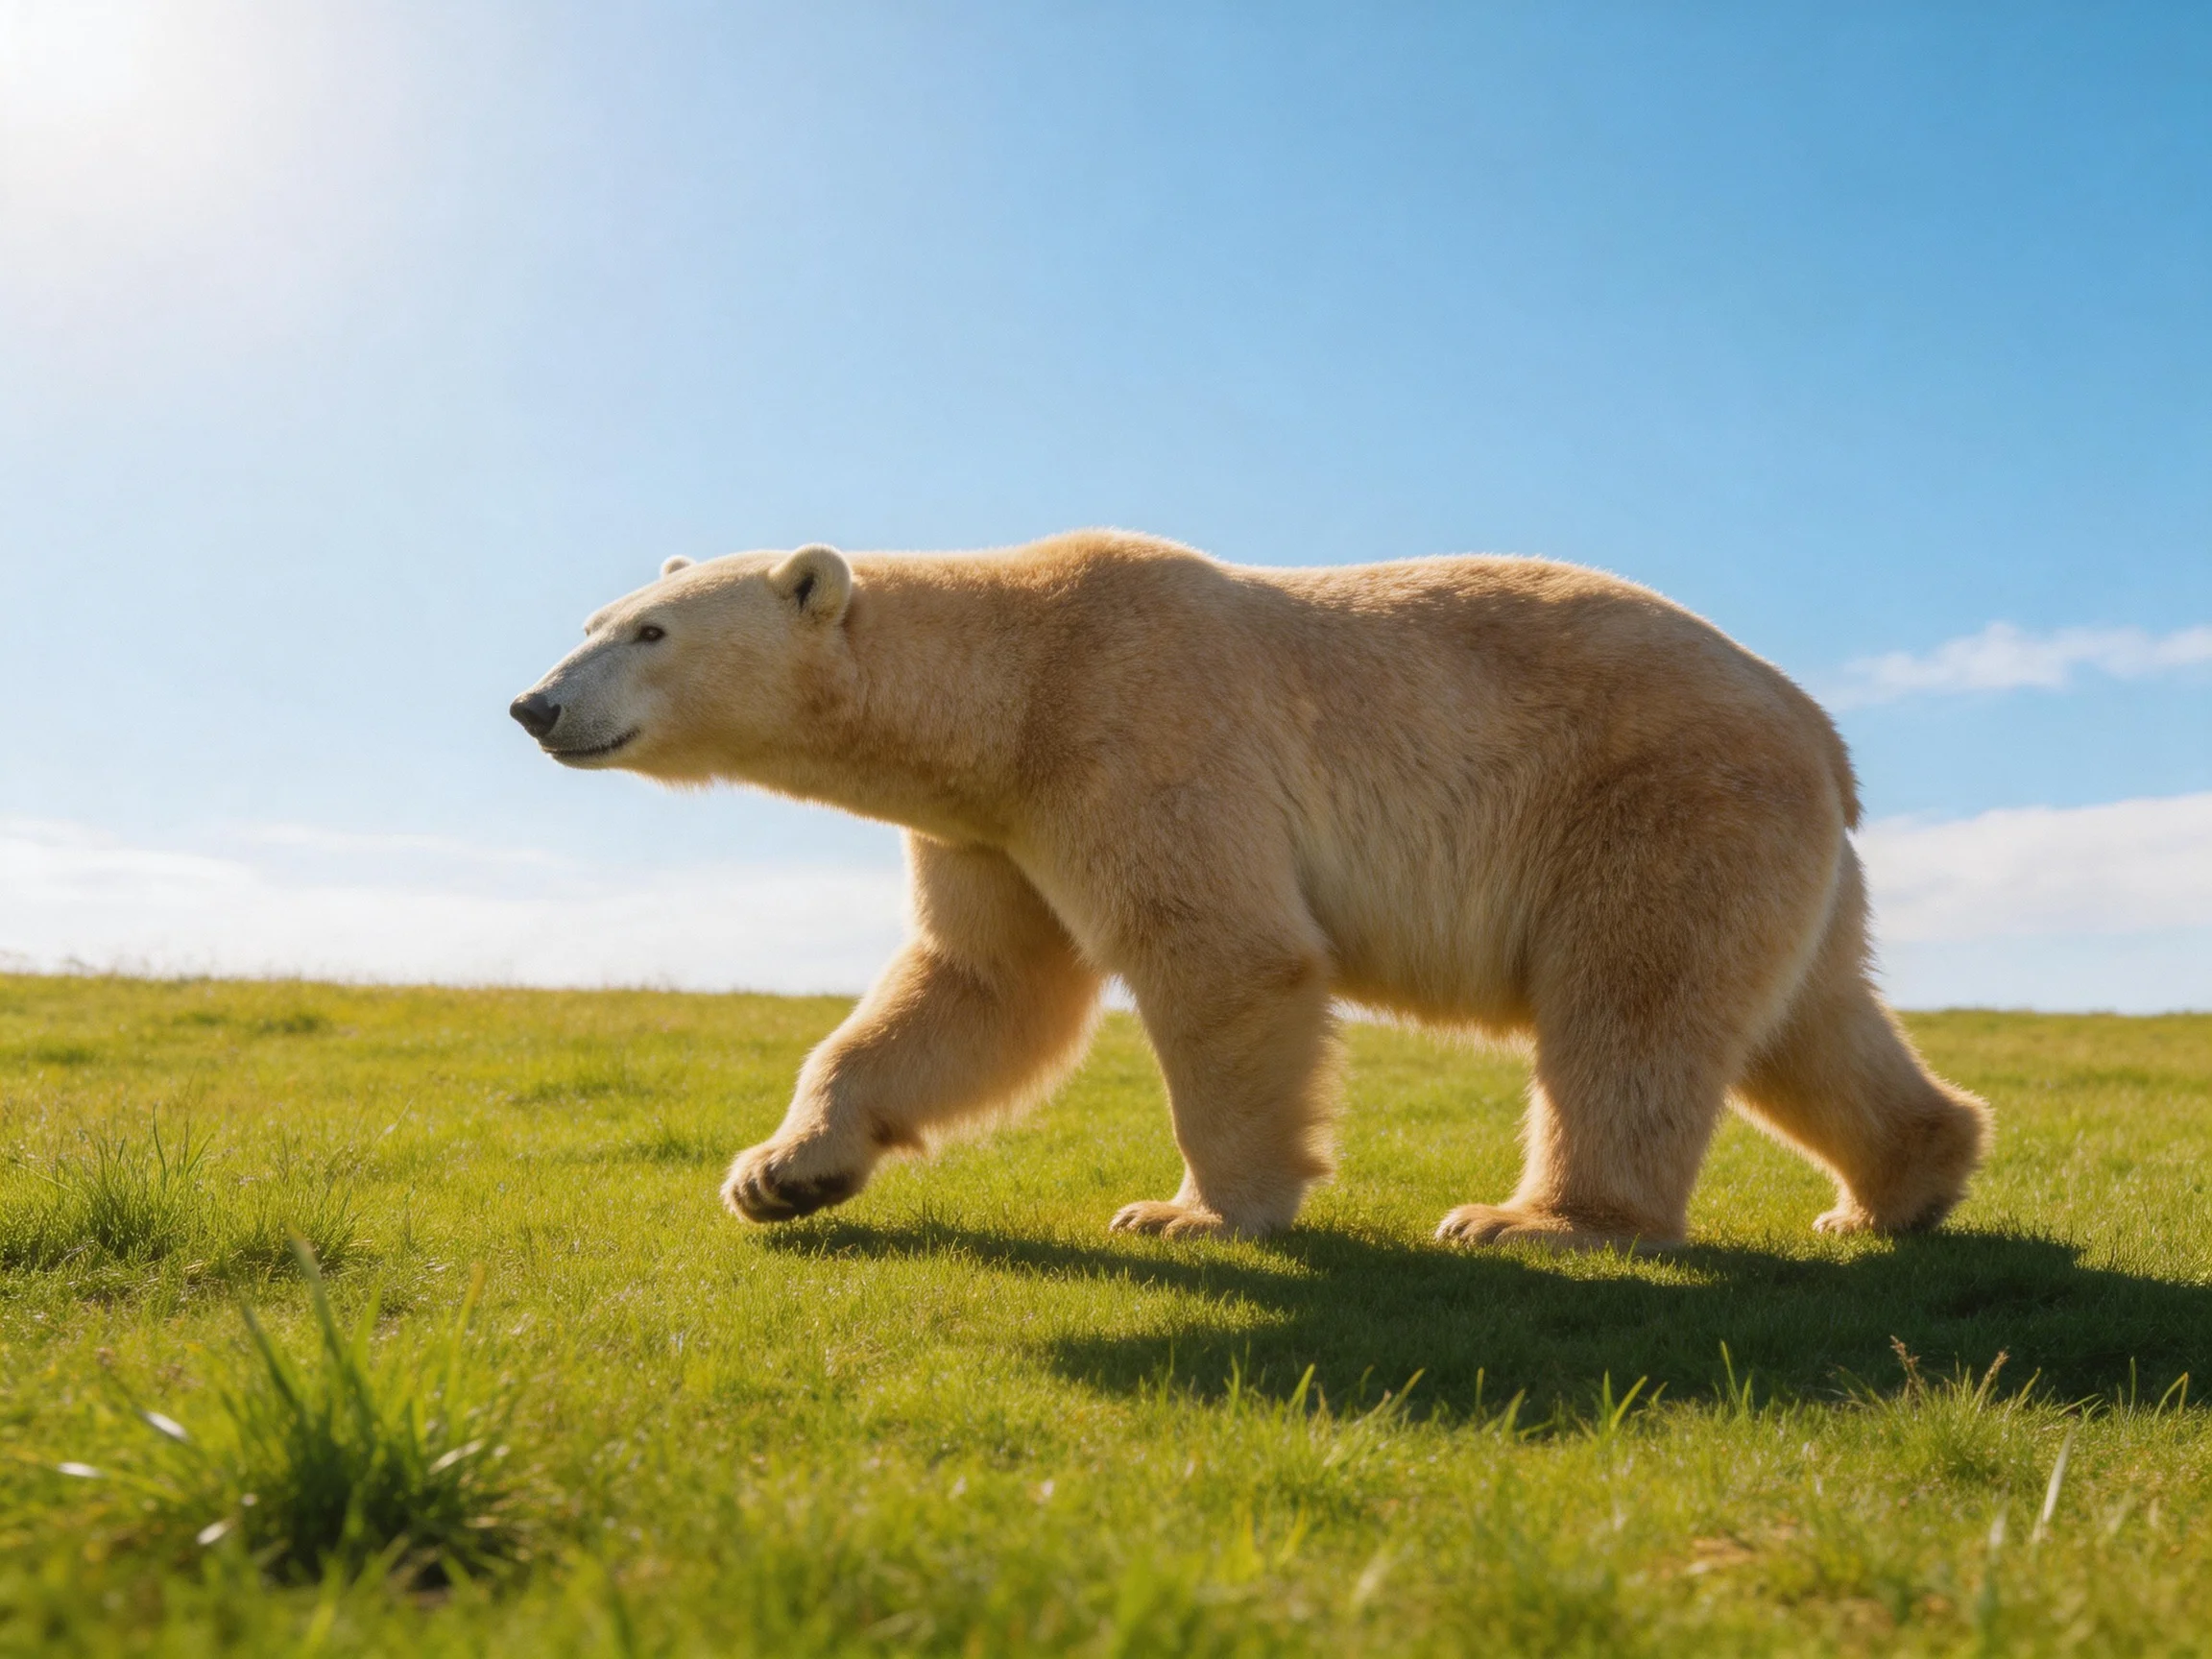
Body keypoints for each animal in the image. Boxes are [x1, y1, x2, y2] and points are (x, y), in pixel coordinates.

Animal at [512, 530, 1990, 1249]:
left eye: (651, 633)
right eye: (590, 623)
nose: (534, 705)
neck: (1010, 683)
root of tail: (1822, 737)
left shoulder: (1135, 729)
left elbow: (1221, 954)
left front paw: (1190, 1211)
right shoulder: (995, 823)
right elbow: (981, 988)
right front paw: (780, 1172)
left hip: (1654, 804)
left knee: (1632, 1010)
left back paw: (1537, 1221)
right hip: (1771, 850)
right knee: (1805, 1021)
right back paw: (1899, 1186)